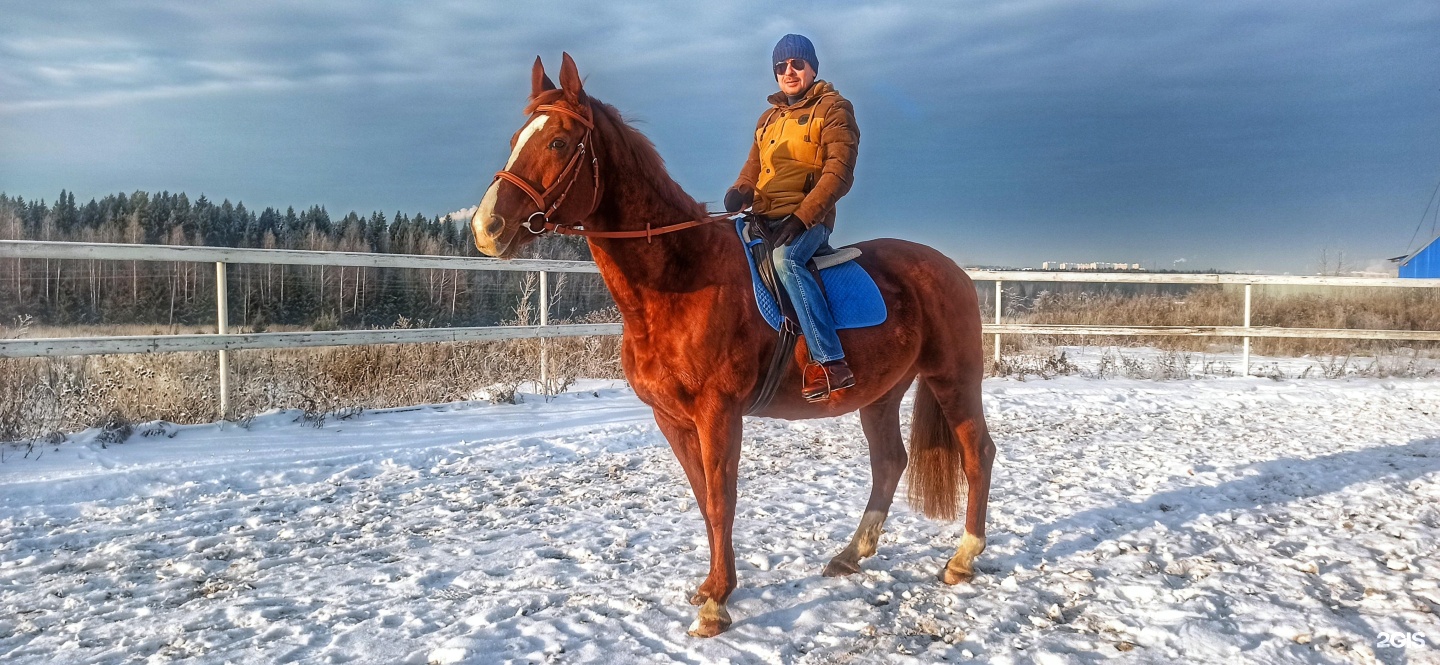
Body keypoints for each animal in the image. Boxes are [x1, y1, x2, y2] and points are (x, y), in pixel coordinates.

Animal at [466, 54, 996, 636]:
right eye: (516, 138)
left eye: (559, 142)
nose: (486, 226)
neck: (681, 280)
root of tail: (953, 270)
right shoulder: (672, 419)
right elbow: (704, 499)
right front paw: (710, 587)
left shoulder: (718, 414)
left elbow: (722, 500)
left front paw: (717, 604)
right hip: (880, 393)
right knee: (889, 463)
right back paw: (851, 554)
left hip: (953, 378)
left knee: (977, 453)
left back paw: (963, 557)